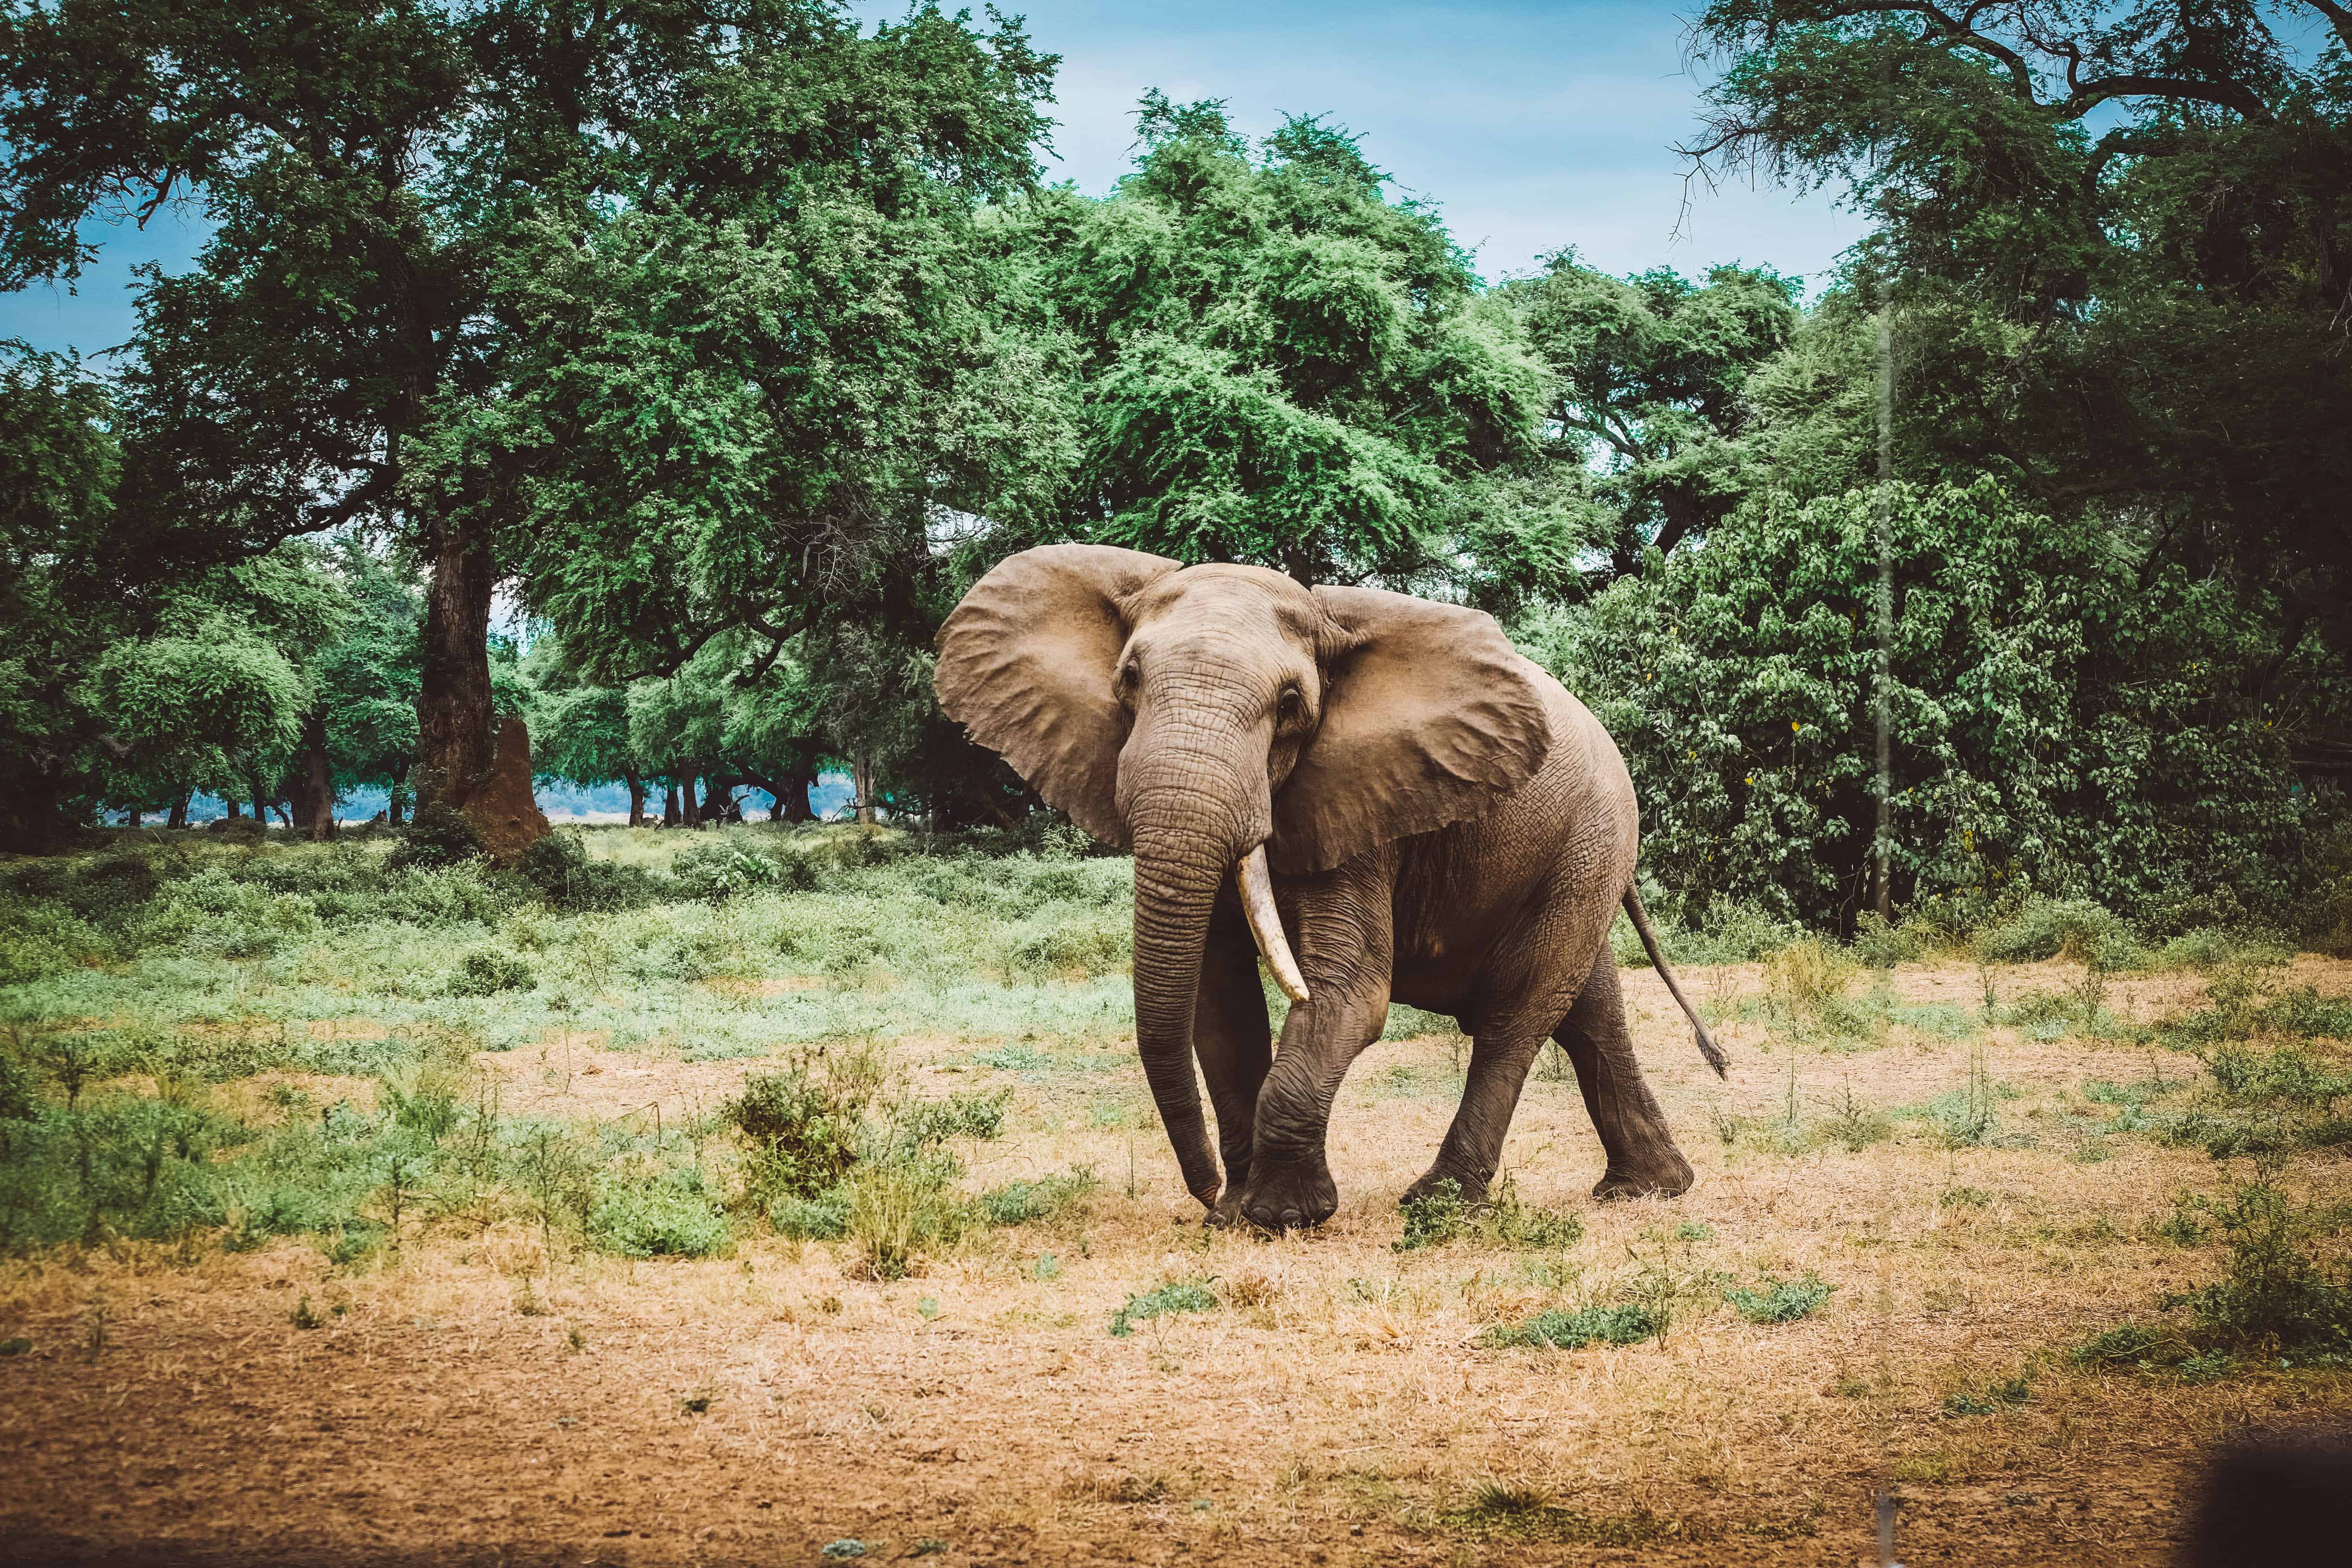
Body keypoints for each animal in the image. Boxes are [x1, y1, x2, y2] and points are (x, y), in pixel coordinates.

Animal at [936, 545, 1731, 1232]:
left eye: (1292, 705)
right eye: (1129, 679)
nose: (1205, 1193)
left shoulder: (1366, 807)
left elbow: (1347, 991)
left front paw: (1281, 1215)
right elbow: (1217, 1000)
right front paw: (1239, 1213)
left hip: (1589, 842)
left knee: (1518, 1015)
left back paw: (1437, 1206)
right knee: (1589, 1012)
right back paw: (1648, 1191)